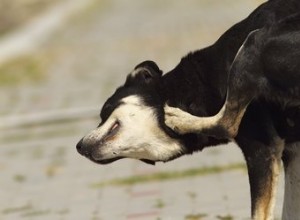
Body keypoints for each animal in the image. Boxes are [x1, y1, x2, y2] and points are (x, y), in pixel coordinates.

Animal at [77, 0, 300, 219]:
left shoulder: (262, 150)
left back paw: (180, 119)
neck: (197, 84)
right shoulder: (293, 153)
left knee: (226, 125)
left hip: (254, 42)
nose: (78, 146)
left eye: (104, 111)